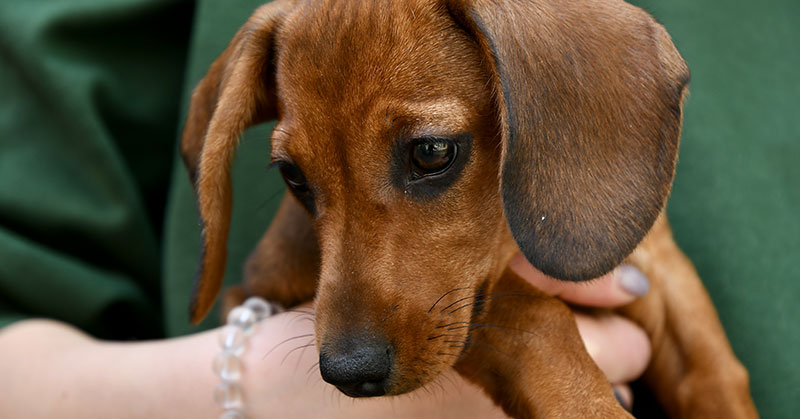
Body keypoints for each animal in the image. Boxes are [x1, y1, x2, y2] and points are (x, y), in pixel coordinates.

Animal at [180, 1, 756, 418]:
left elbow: (714, 373)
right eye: (294, 177)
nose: (347, 372)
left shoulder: (658, 265)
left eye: (432, 152)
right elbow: (533, 316)